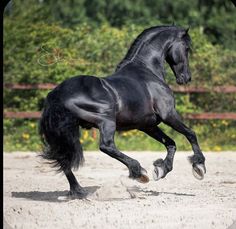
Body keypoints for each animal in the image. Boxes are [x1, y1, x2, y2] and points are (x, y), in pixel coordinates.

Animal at [39, 24, 206, 197]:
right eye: (186, 48)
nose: (186, 78)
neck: (148, 71)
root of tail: (57, 94)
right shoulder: (169, 115)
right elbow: (191, 134)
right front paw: (199, 166)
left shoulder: (148, 125)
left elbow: (171, 143)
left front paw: (161, 169)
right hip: (106, 121)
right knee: (106, 146)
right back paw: (139, 172)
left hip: (64, 132)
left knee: (63, 157)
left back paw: (78, 190)